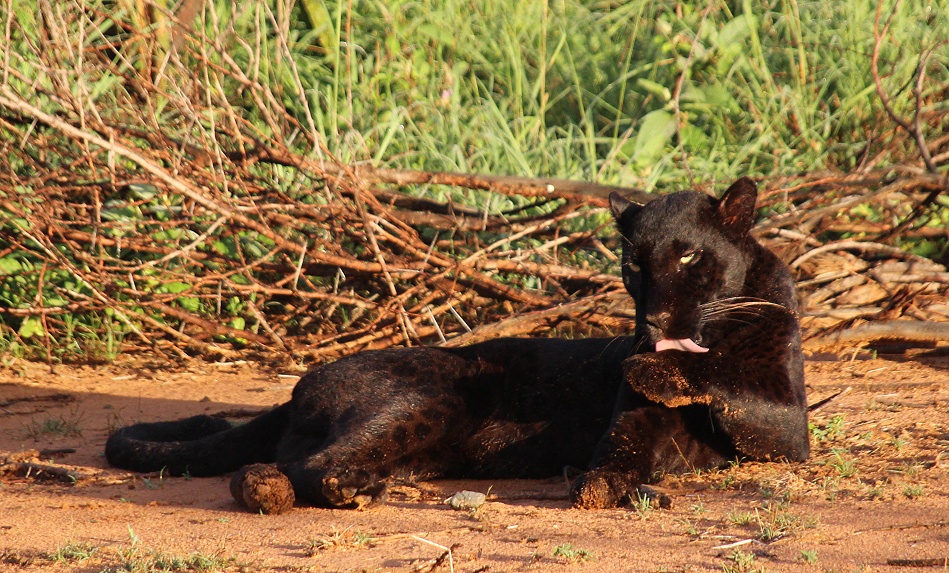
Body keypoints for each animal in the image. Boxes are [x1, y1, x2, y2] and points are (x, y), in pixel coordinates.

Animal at [106, 177, 809, 513]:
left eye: (688, 256)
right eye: (634, 263)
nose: (656, 316)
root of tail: (302, 383)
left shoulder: (789, 426)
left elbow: (733, 383)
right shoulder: (634, 420)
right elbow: (622, 448)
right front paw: (606, 483)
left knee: (272, 466)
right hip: (428, 400)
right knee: (307, 466)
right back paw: (341, 490)